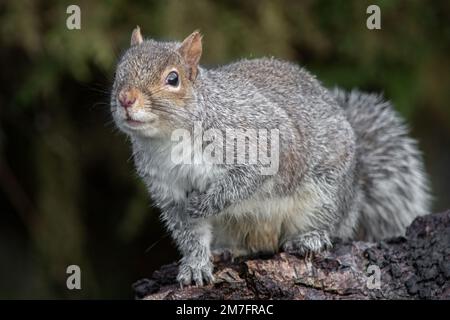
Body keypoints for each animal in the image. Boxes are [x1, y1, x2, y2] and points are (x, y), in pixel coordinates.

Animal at [110, 27, 430, 286]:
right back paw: (226, 250)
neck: (167, 141)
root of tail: (355, 189)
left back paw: (311, 238)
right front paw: (195, 265)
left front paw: (203, 204)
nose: (126, 98)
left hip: (324, 195)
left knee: (333, 226)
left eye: (173, 78)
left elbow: (241, 183)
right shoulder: (168, 190)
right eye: (117, 73)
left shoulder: (260, 143)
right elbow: (190, 235)